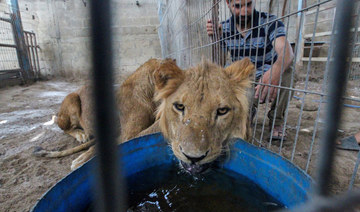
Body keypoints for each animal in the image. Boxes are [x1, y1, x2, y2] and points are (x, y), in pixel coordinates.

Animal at [33, 57, 253, 172]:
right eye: (180, 107)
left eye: (222, 111)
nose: (194, 157)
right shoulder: (128, 134)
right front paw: (81, 160)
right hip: (72, 99)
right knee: (61, 123)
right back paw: (80, 134)